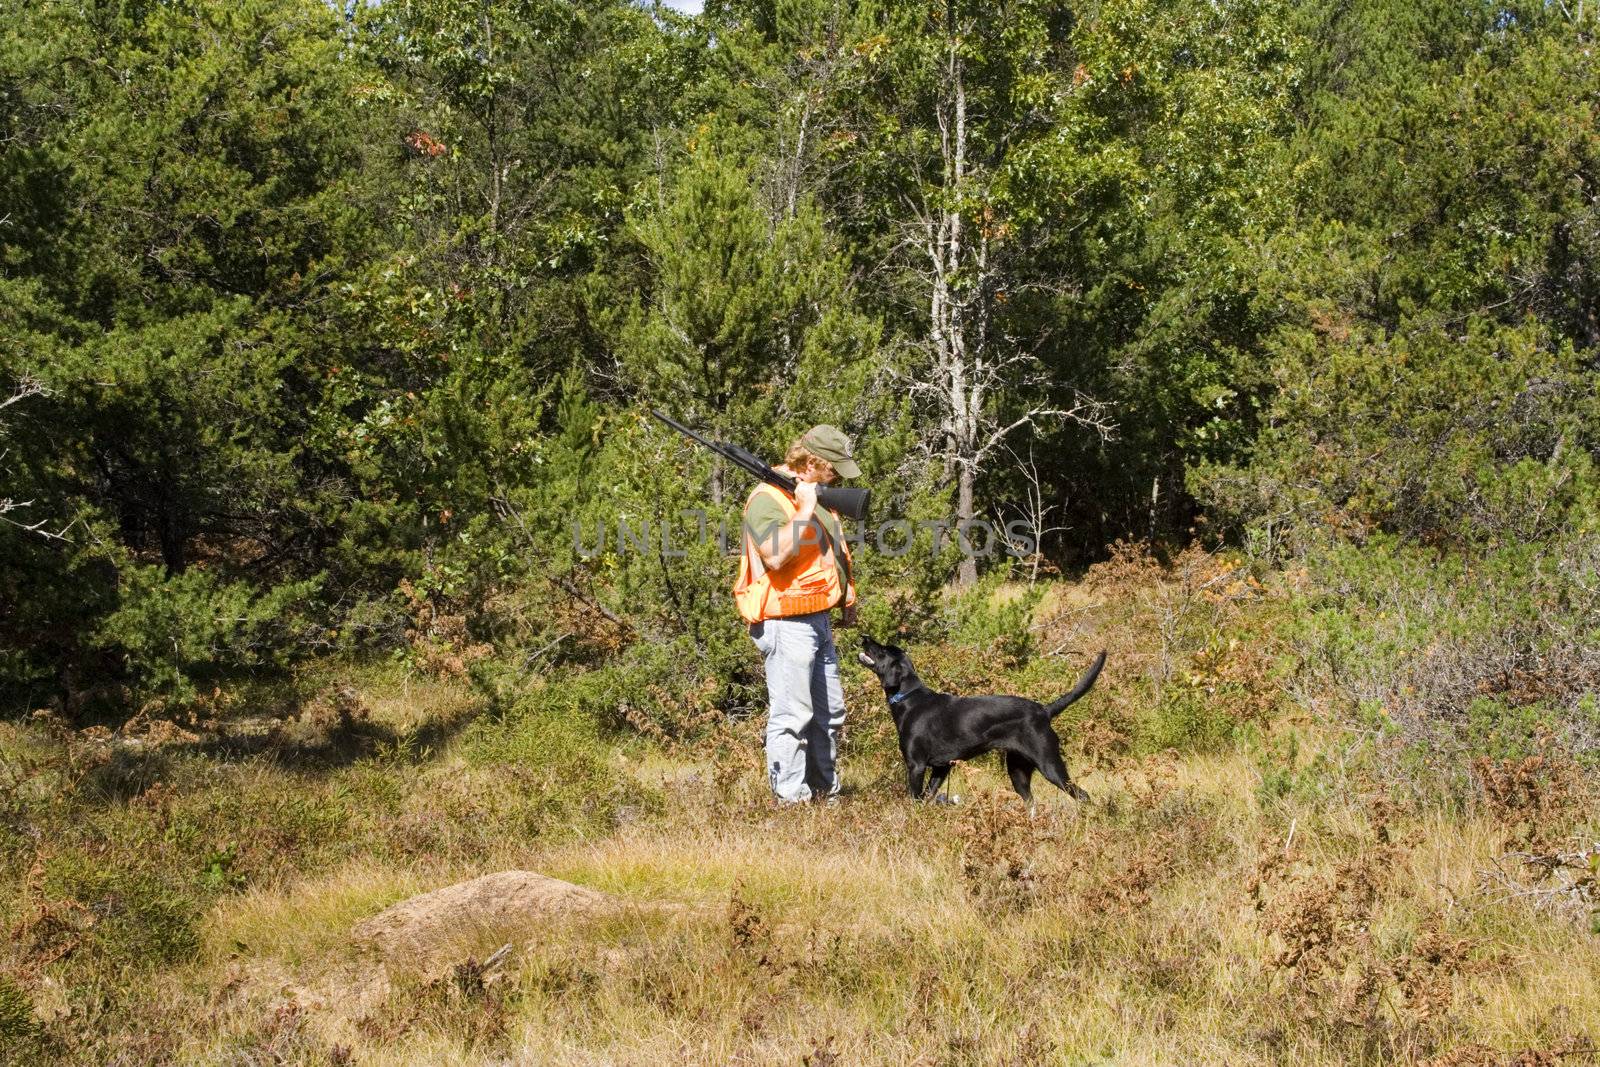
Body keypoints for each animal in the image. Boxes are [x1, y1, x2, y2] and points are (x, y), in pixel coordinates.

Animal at [857, 639, 1107, 806]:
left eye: (883, 650)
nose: (865, 637)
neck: (908, 698)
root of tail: (1044, 711)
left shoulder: (916, 765)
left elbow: (915, 800)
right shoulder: (941, 767)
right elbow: (929, 796)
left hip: (1050, 765)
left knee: (1083, 796)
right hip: (1018, 771)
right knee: (1031, 803)